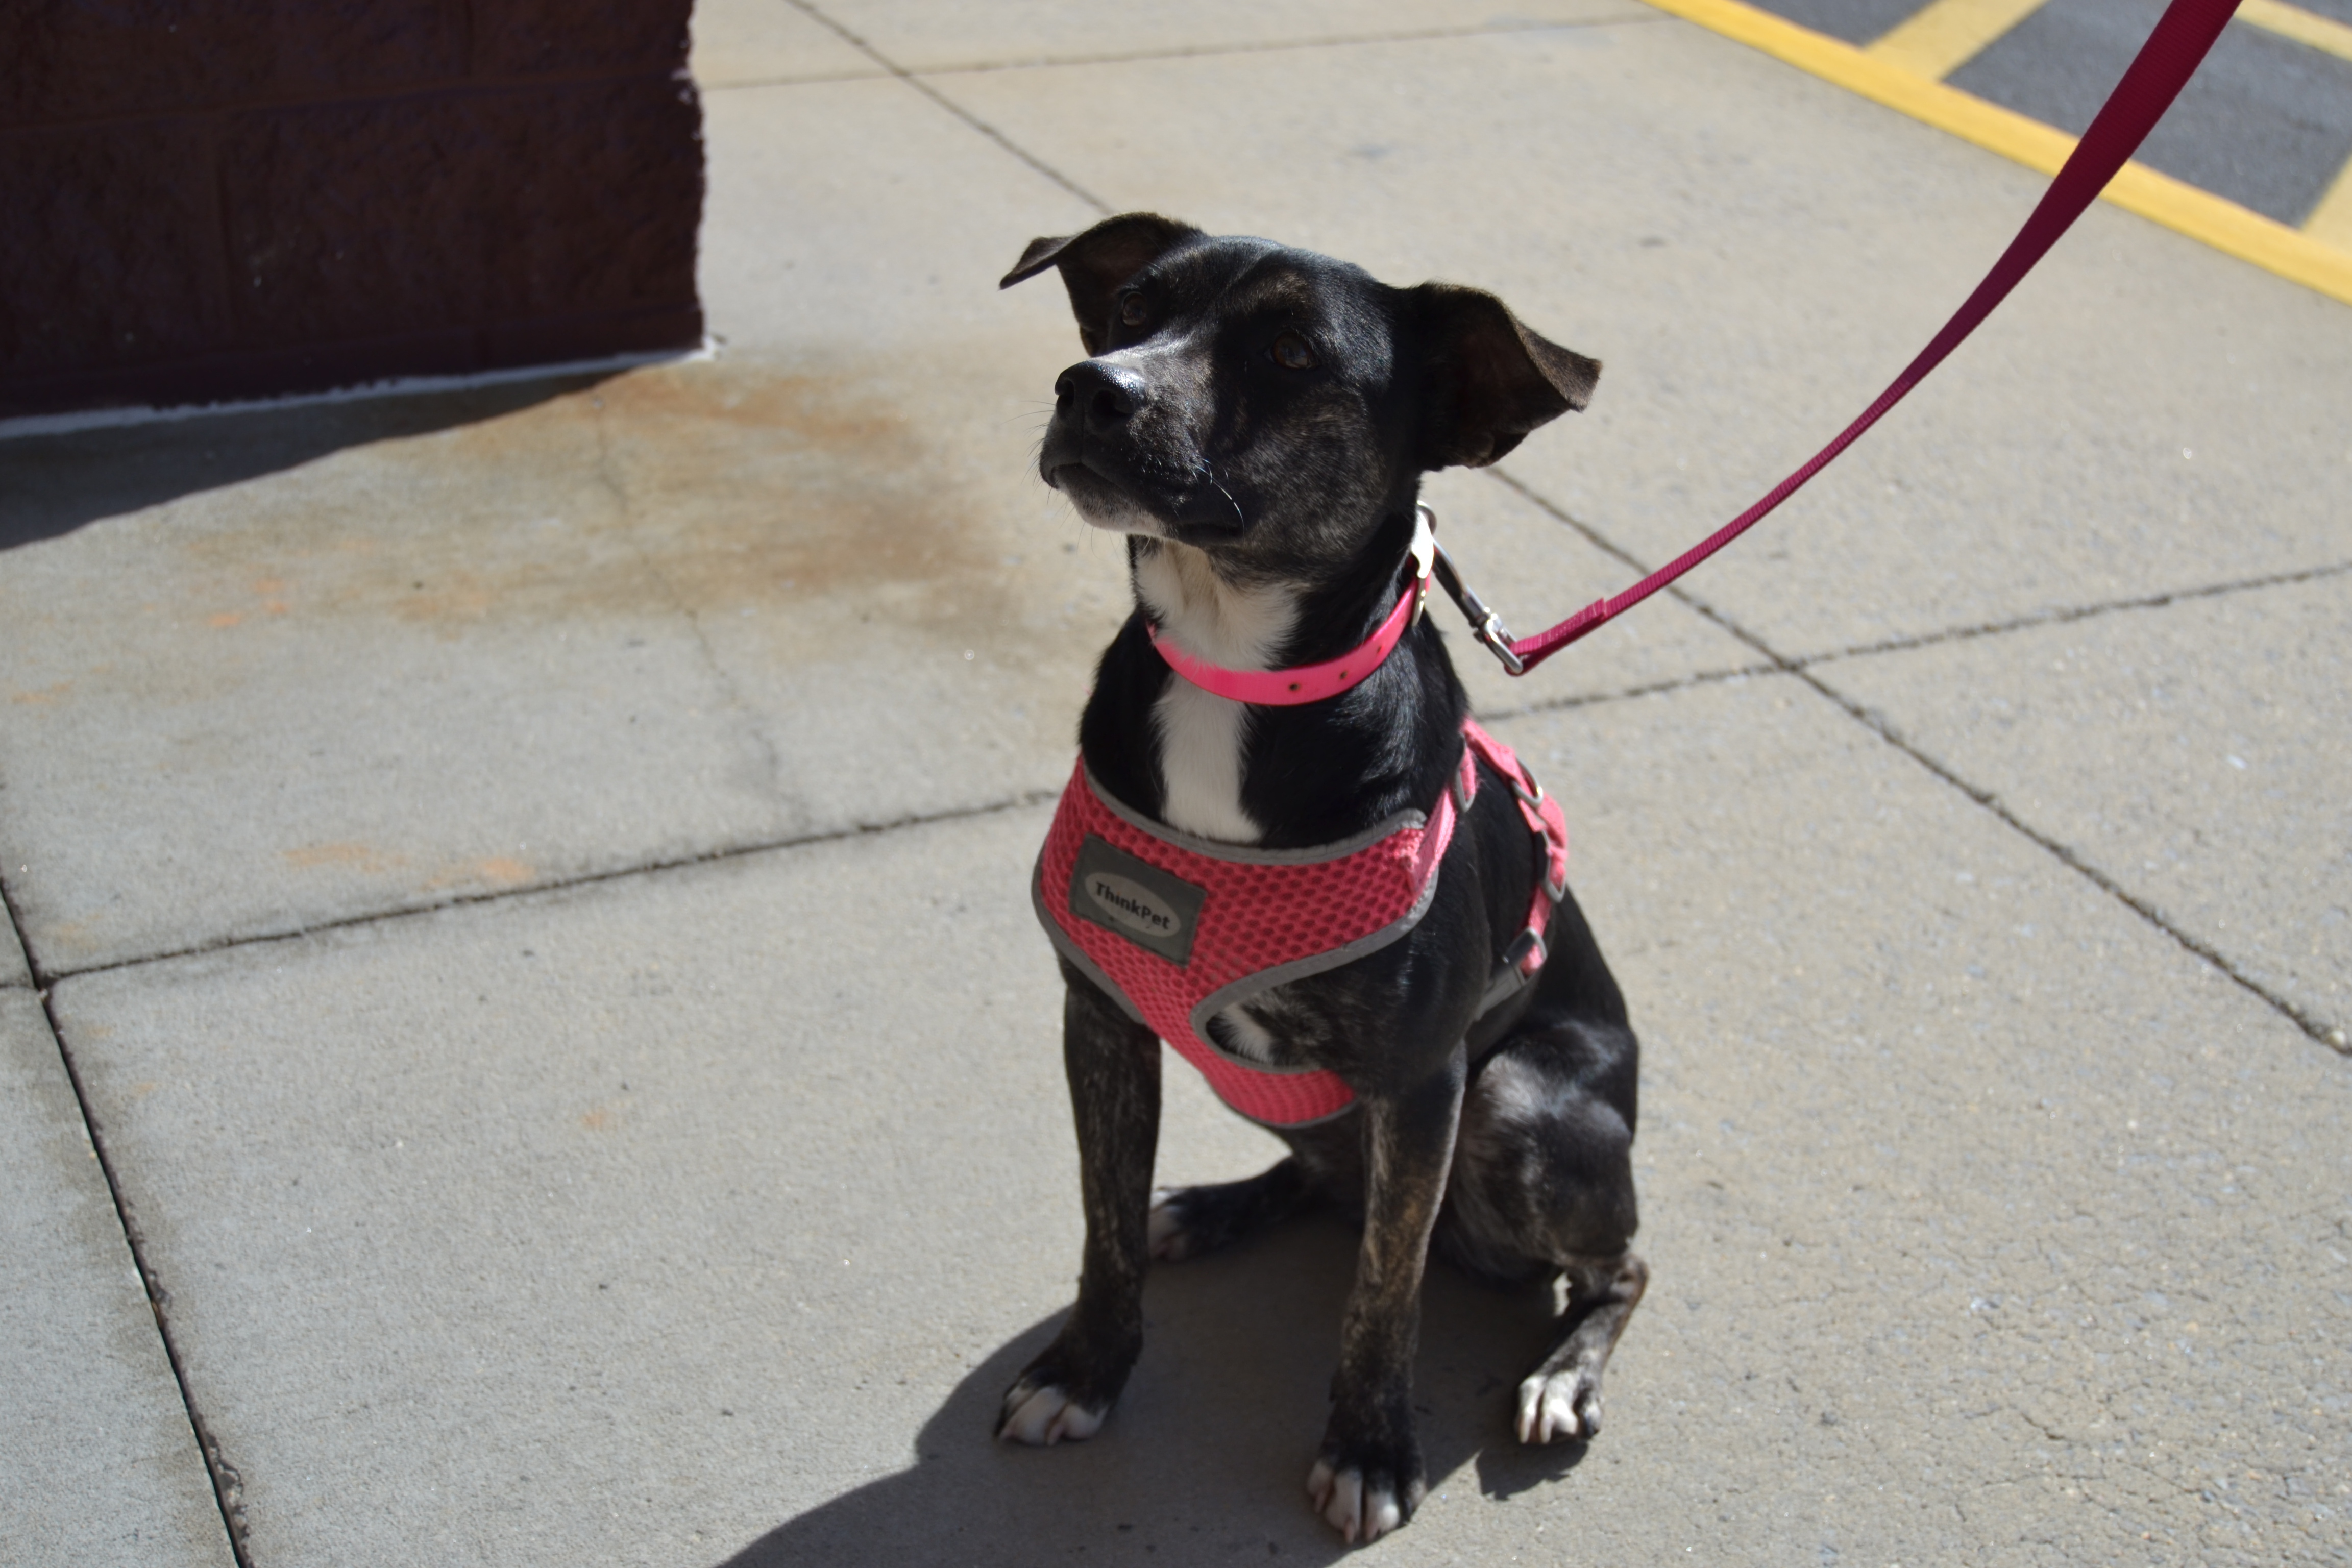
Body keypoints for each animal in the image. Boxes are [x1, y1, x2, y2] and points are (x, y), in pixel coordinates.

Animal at [1002, 215, 1646, 1551]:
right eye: (1132, 309)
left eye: (1294, 353)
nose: (1094, 387)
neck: (1232, 669)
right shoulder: (1100, 1018)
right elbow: (1102, 1223)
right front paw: (1085, 1370)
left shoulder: (1424, 1082)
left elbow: (1383, 1295)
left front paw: (1368, 1447)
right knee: (1318, 1177)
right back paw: (1213, 1206)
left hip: (1516, 1101)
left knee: (1621, 1262)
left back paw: (1565, 1368)